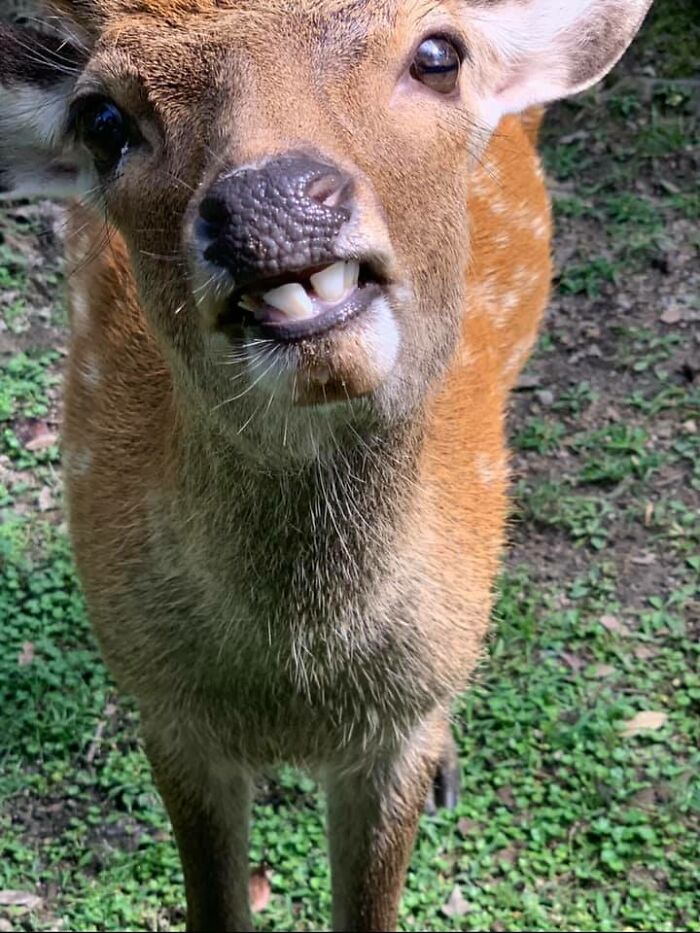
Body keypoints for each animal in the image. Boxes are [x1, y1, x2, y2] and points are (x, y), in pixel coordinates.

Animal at [0, 0, 652, 929]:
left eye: (438, 53)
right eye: (102, 121)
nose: (268, 202)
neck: (298, 683)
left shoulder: (397, 725)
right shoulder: (167, 709)